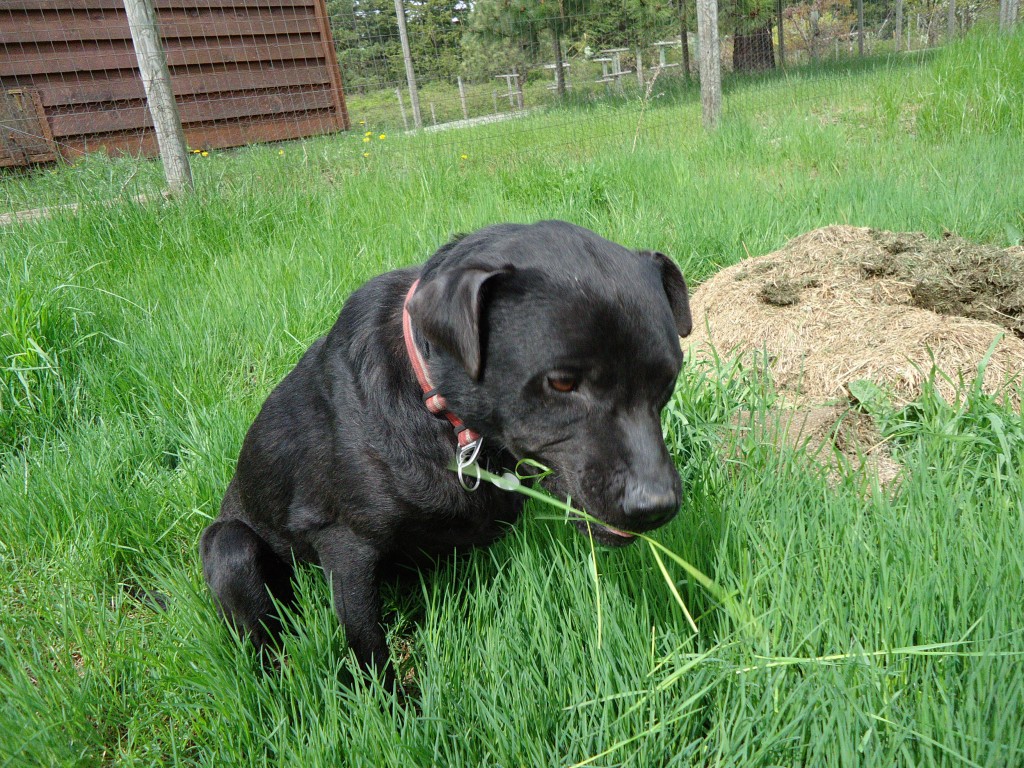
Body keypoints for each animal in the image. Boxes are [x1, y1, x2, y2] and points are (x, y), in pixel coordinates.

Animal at [199, 221, 692, 679]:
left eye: (670, 377)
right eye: (562, 383)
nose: (656, 506)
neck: (437, 407)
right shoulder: (346, 545)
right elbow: (368, 647)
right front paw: (393, 706)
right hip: (230, 548)